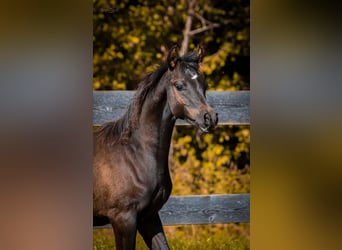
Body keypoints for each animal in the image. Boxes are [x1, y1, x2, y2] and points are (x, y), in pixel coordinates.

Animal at [93, 45, 216, 250]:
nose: (210, 118)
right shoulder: (123, 219)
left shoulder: (149, 217)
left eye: (204, 84)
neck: (135, 155)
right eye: (179, 85)